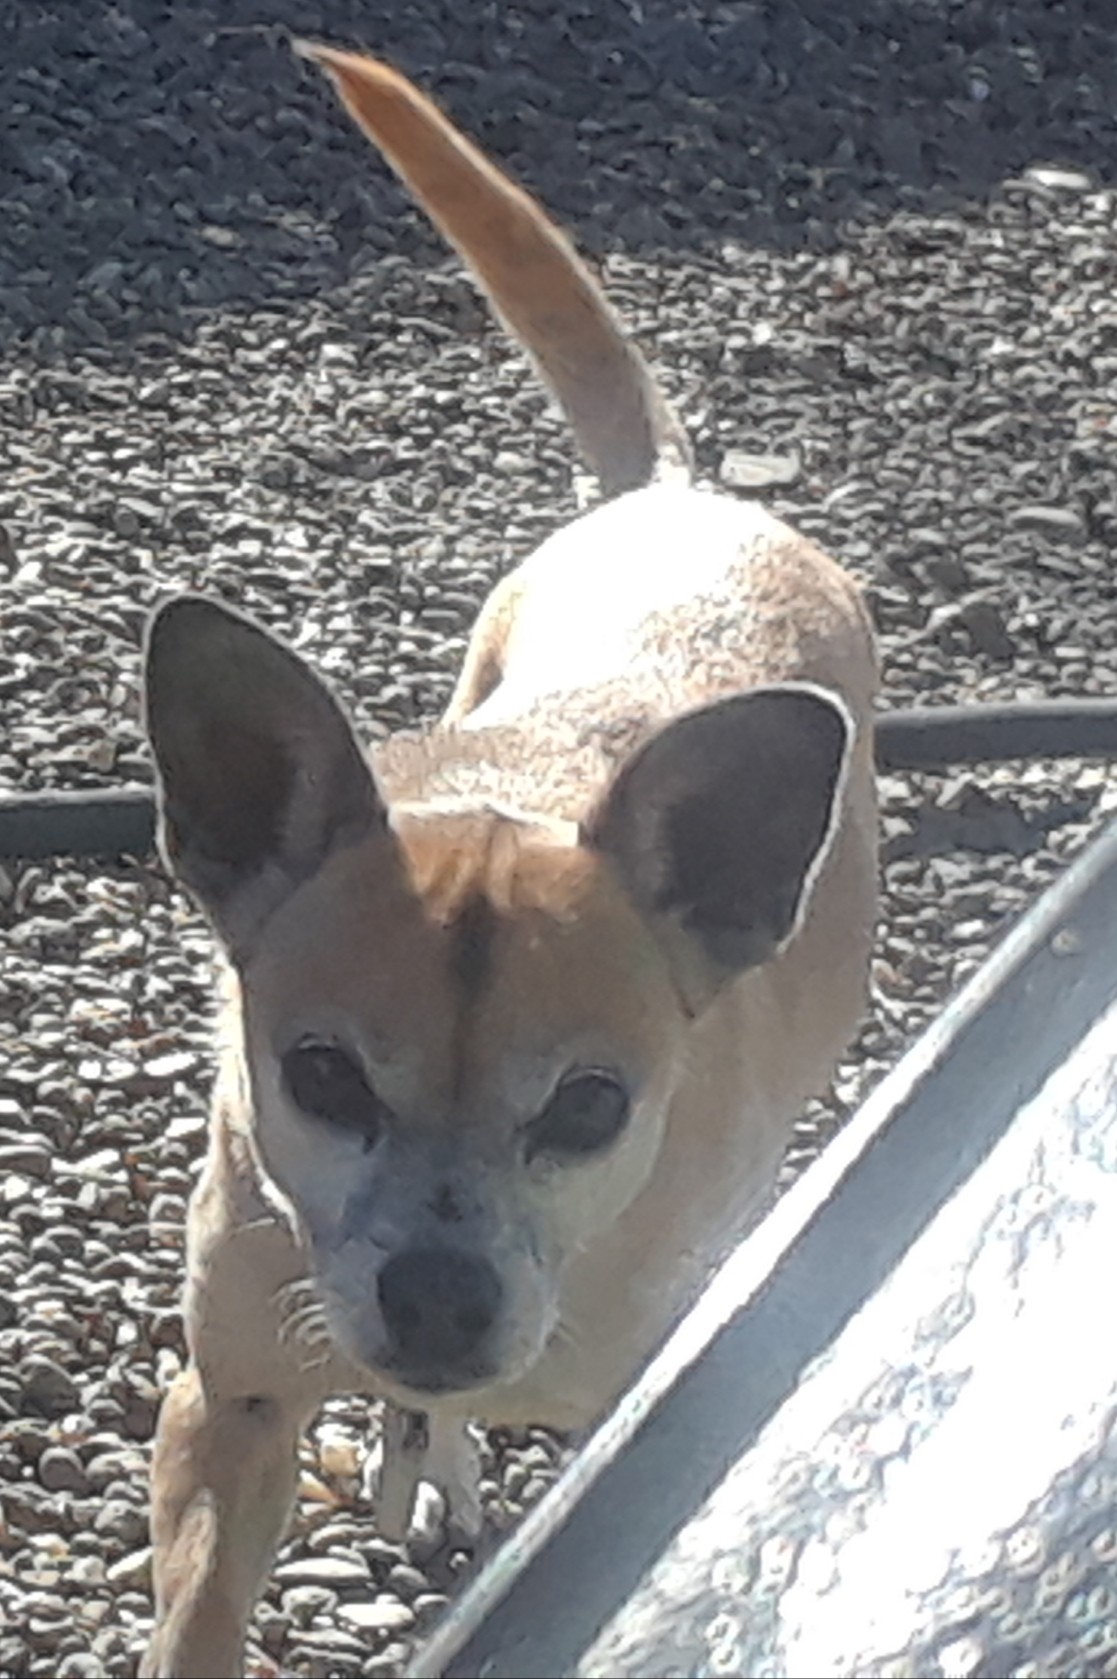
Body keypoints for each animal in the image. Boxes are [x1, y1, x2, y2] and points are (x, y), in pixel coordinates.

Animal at [139, 39, 873, 1679]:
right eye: (323, 1076)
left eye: (591, 1105)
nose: (436, 1294)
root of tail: (677, 492)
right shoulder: (226, 1404)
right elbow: (201, 1608)